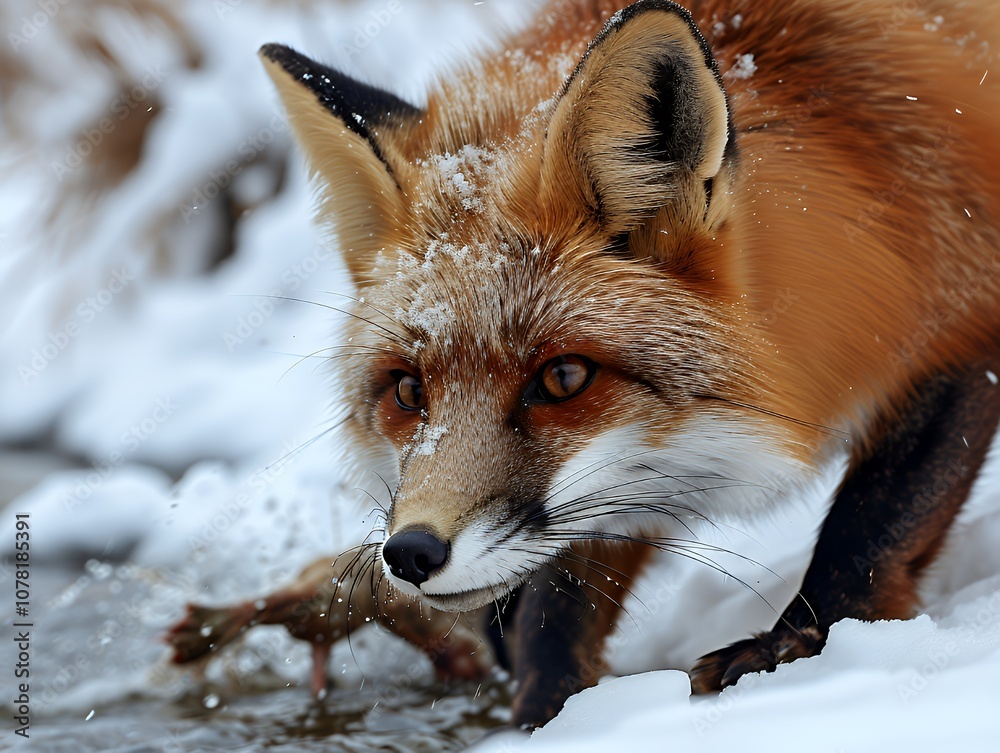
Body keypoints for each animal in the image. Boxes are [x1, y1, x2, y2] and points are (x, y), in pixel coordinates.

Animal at [259, 0, 1000, 729]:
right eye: (409, 390)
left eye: (562, 378)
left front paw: (793, 649)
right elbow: (564, 597)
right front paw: (551, 711)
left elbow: (868, 530)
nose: (412, 552)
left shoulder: (959, 320)